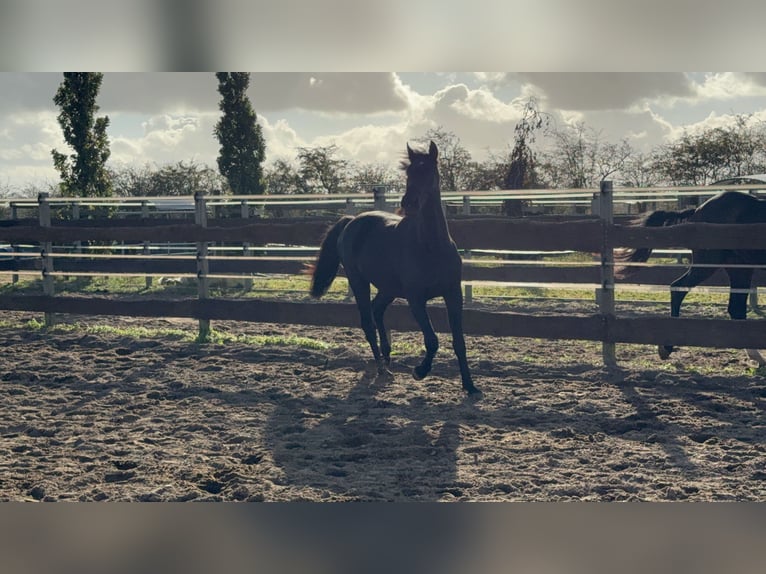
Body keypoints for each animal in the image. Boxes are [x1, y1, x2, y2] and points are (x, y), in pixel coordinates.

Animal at [309, 141, 480, 395]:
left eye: (428, 171)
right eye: (409, 173)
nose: (409, 203)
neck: (431, 246)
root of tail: (351, 222)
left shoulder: (453, 295)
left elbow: (459, 342)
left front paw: (470, 386)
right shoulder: (416, 299)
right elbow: (432, 340)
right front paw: (420, 371)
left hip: (388, 288)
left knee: (377, 310)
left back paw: (387, 357)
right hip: (358, 281)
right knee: (367, 321)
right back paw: (382, 368)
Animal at [616, 190, 766, 365]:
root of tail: (698, 210)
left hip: (740, 268)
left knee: (736, 308)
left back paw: (757, 356)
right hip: (709, 264)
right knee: (678, 288)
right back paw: (666, 347)